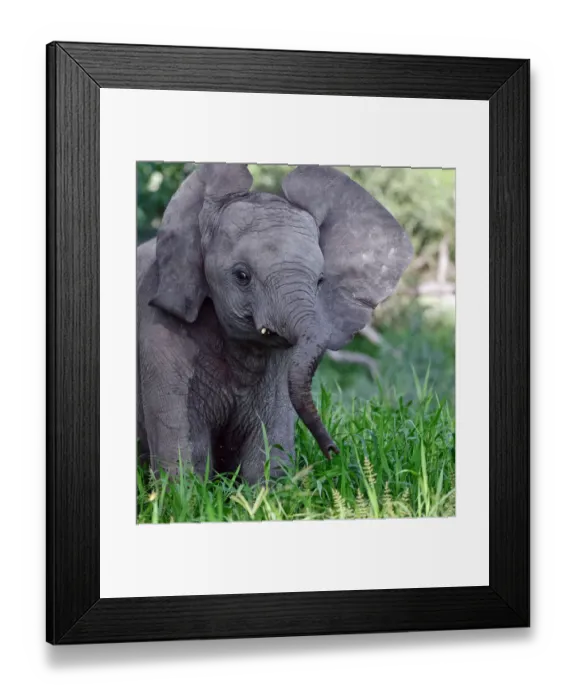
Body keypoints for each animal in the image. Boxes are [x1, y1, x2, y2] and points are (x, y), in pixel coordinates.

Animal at [137, 164, 413, 484]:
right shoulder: (160, 329)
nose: (334, 452)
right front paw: (184, 491)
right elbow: (184, 449)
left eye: (320, 281)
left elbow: (269, 443)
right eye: (242, 276)